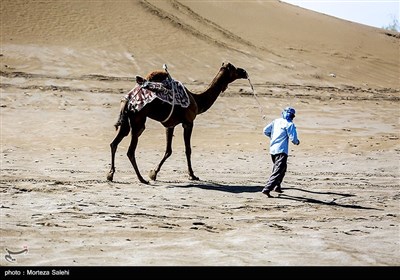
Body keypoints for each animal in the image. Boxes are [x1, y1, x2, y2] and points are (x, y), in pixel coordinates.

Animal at [108, 61, 248, 184]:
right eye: (234, 69)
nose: (244, 71)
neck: (197, 100)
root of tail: (127, 101)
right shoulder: (189, 122)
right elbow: (188, 149)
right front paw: (192, 175)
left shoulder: (170, 125)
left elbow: (168, 150)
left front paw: (154, 173)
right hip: (138, 120)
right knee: (130, 150)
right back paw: (141, 179)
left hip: (126, 121)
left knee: (114, 143)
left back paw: (110, 174)